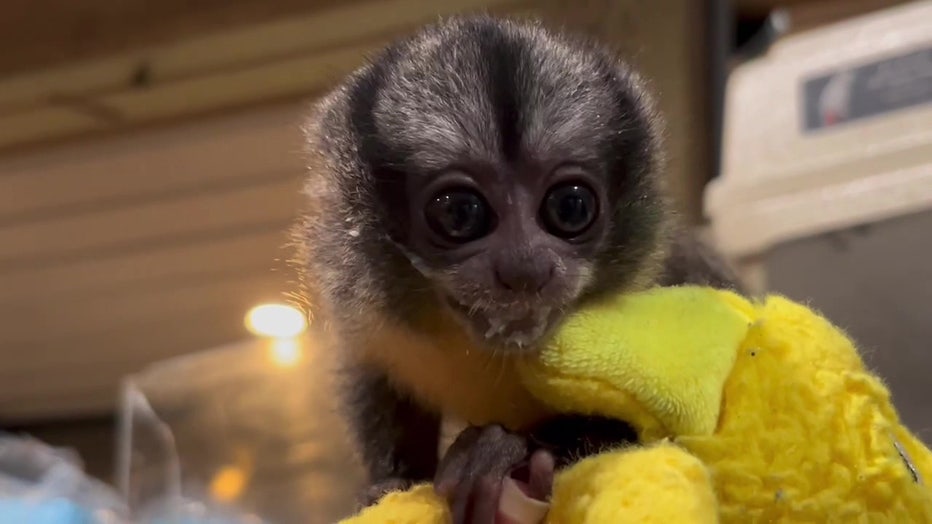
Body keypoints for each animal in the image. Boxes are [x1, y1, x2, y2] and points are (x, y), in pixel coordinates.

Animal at [294, 14, 740, 520]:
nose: (525, 268)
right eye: (459, 213)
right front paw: (387, 484)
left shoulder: (677, 279)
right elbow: (372, 379)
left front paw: (497, 459)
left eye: (570, 207)